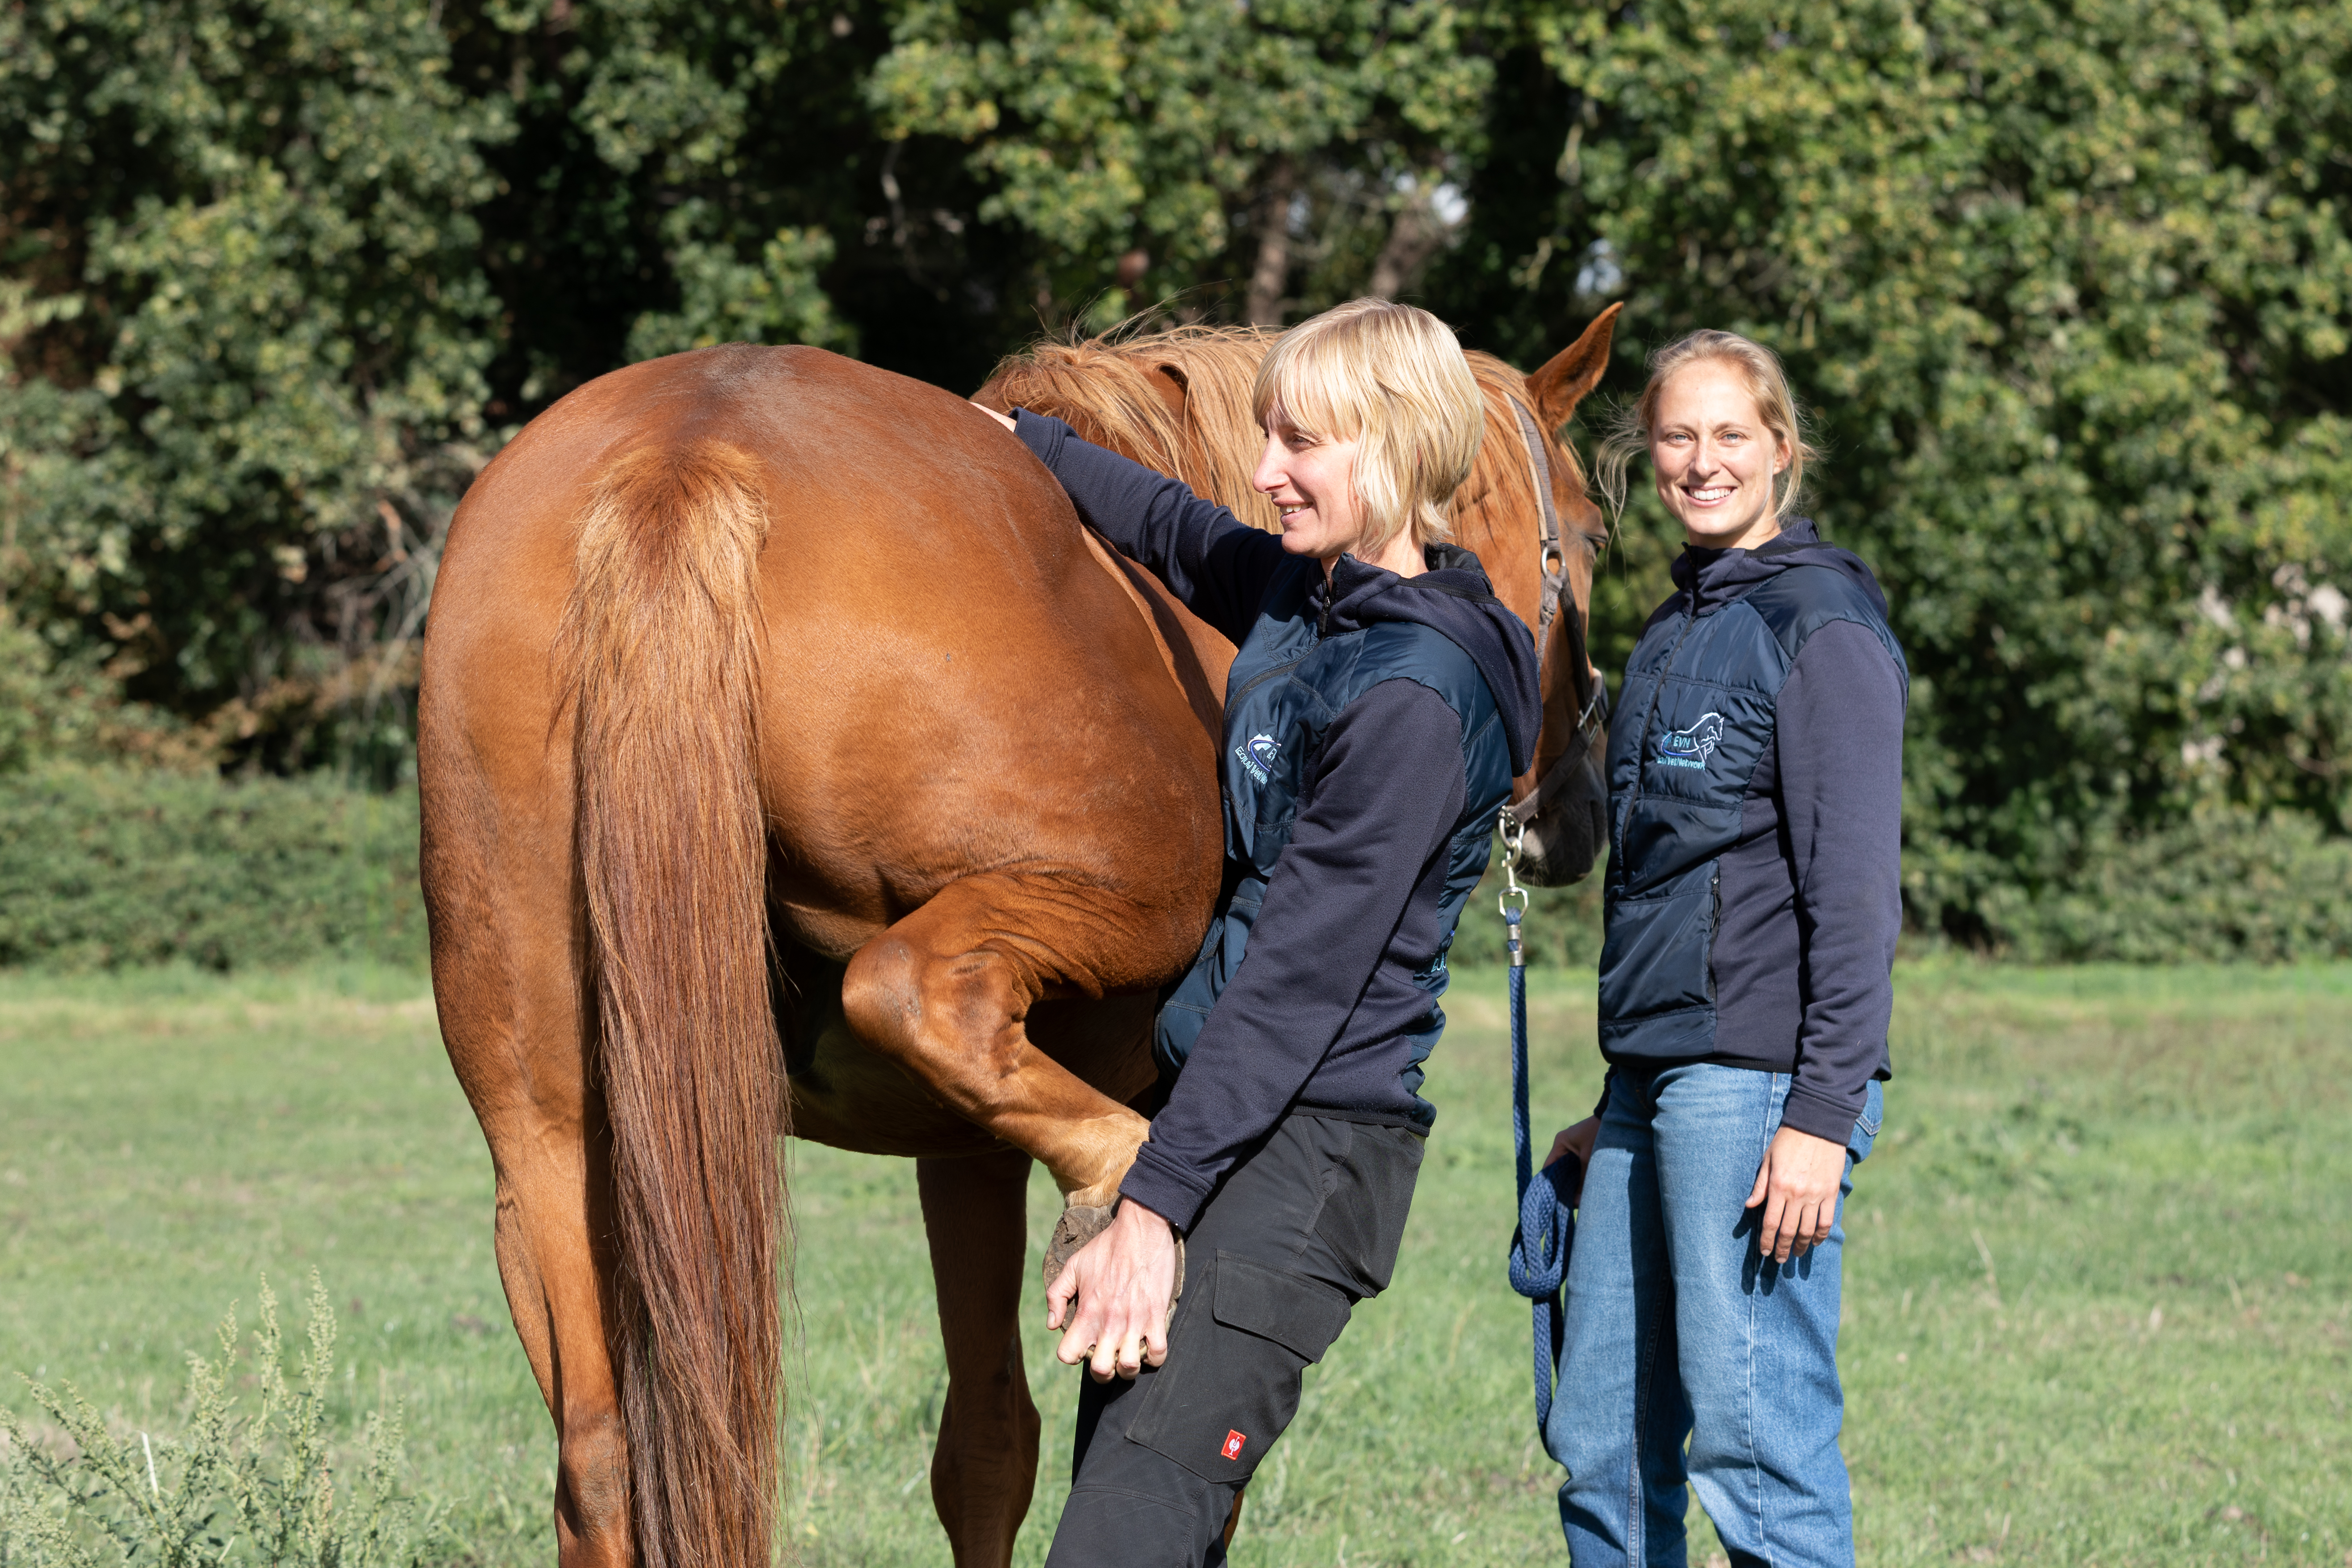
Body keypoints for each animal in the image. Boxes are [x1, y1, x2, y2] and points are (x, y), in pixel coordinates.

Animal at [415, 305, 1619, 1568]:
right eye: (1586, 537)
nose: (1578, 807)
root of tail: (686, 450)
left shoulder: (960, 1148)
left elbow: (982, 1445)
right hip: (1117, 903)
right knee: (921, 990)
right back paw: (1114, 1180)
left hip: (545, 1147)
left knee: (598, 1459)